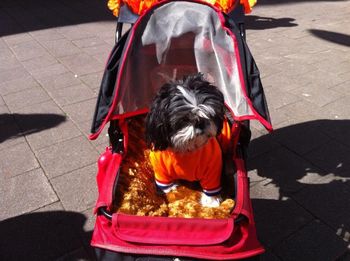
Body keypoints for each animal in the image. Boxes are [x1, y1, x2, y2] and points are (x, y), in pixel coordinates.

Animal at [146, 72, 226, 206]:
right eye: (184, 119)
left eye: (210, 114)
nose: (200, 122)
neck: (187, 150)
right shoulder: (160, 170)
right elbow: (168, 186)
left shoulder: (212, 168)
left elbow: (211, 185)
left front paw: (211, 201)